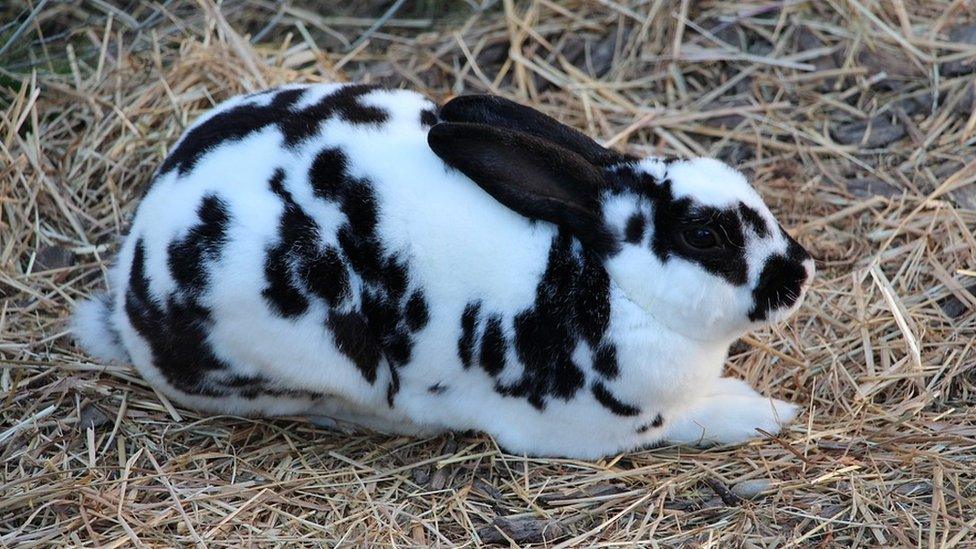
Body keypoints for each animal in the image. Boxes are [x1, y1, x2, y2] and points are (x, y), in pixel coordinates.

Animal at [70, 82, 816, 458]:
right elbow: (697, 421)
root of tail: (131, 293)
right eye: (705, 234)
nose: (801, 271)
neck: (614, 284)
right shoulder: (597, 431)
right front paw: (768, 412)